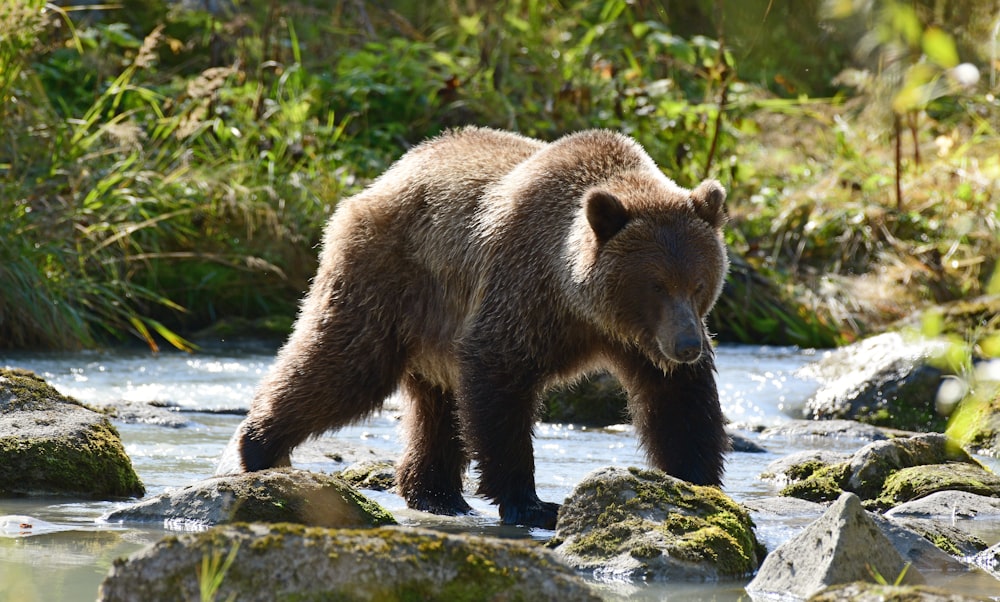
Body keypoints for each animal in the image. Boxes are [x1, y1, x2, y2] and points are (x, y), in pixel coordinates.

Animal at [217, 125, 728, 524]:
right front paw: (531, 502)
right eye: (656, 284)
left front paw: (699, 483)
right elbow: (499, 380)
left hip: (432, 324)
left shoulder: (639, 341)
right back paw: (258, 447)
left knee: (436, 407)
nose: (687, 345)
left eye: (699, 283)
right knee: (343, 366)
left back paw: (435, 492)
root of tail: (384, 179)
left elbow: (677, 402)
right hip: (388, 280)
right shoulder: (523, 293)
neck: (581, 304)